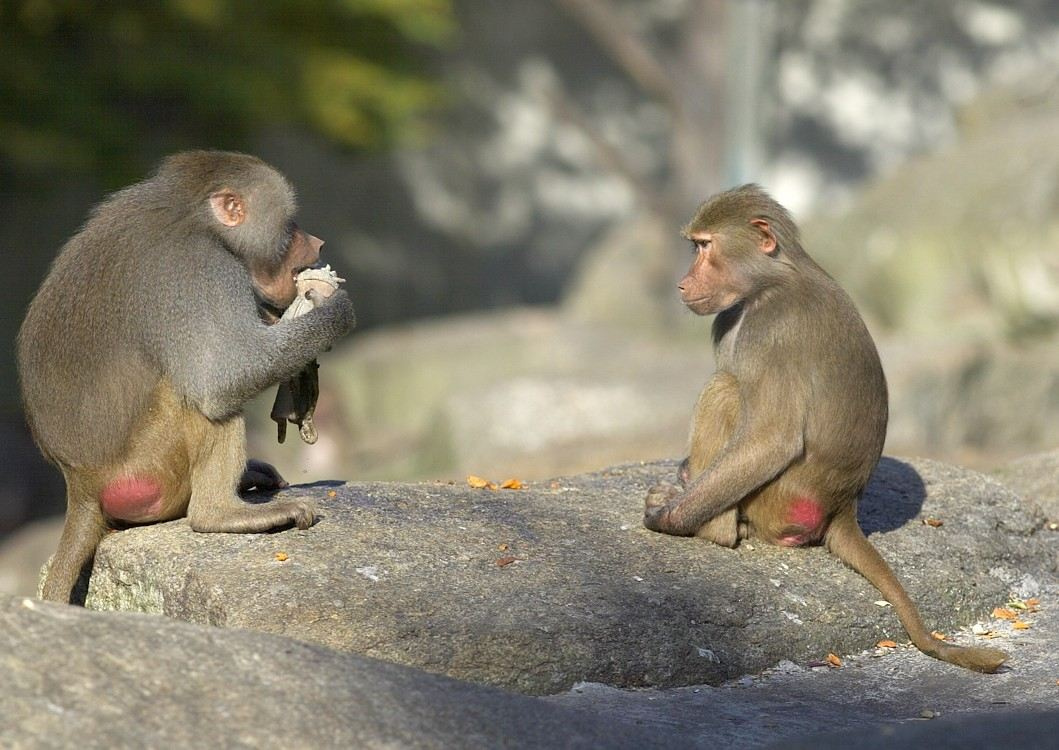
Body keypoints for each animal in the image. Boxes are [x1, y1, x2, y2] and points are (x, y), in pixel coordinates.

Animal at [17, 150, 356, 604]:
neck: (193, 216)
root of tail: (80, 484)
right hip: (148, 465)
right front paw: (332, 310)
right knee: (200, 398)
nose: (317, 243)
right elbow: (222, 379)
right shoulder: (202, 269)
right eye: (290, 225)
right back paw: (222, 514)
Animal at [643, 184, 1007, 673]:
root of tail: (841, 506)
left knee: (725, 389)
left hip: (777, 500)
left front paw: (667, 515)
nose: (682, 285)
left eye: (705, 246)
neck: (771, 280)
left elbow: (772, 439)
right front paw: (683, 476)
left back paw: (715, 528)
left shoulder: (770, 330)